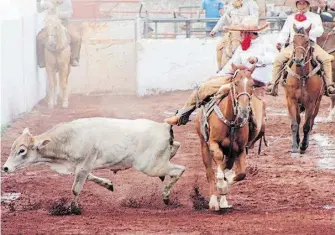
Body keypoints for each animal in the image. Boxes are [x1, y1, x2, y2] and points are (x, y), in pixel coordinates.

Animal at [1, 117, 185, 213]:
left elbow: (75, 188)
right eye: (12, 148)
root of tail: (163, 126)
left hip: (150, 166)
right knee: (176, 146)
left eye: (22, 150)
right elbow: (90, 177)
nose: (6, 168)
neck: (69, 139)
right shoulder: (79, 167)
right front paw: (108, 184)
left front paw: (73, 208)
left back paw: (166, 196)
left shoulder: (83, 165)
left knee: (180, 169)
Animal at [194, 64, 260, 211]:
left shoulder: (239, 150)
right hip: (204, 146)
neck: (231, 122)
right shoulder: (213, 143)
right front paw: (221, 184)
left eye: (252, 85)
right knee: (210, 173)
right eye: (235, 83)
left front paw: (227, 180)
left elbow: (241, 174)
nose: (243, 111)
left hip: (230, 152)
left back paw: (223, 201)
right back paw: (214, 202)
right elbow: (218, 161)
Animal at [286, 24, 326, 154]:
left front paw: (303, 146)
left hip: (317, 103)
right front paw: (295, 145)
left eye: (307, 41)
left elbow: (307, 125)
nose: (298, 60)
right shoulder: (291, 100)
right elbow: (295, 123)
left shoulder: (311, 102)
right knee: (299, 120)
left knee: (312, 121)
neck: (302, 77)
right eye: (294, 41)